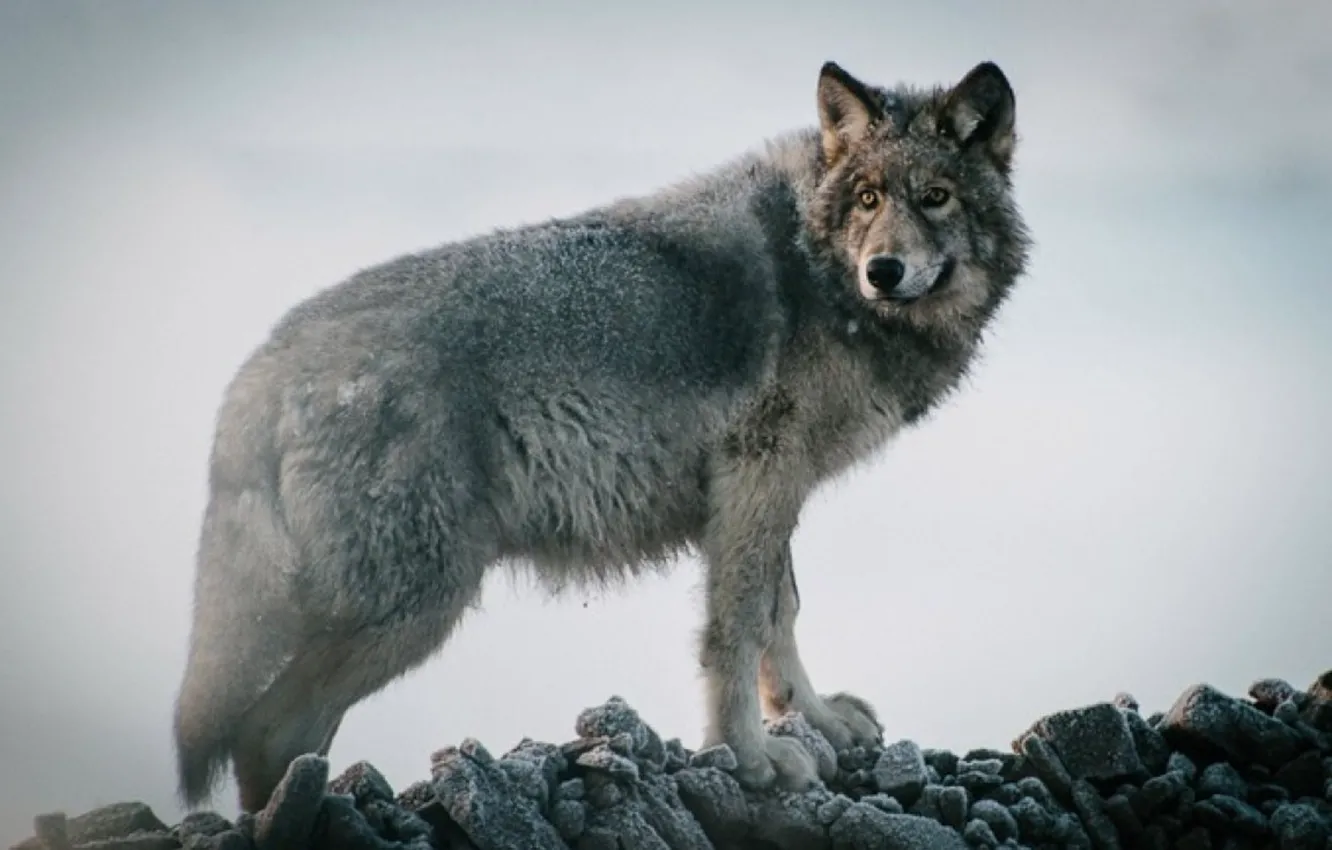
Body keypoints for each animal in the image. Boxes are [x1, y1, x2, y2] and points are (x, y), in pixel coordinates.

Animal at [173, 59, 1031, 812]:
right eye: (867, 197)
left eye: (934, 197)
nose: (882, 270)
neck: (818, 270)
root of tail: (258, 375)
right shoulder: (760, 476)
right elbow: (739, 626)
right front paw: (750, 759)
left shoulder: (771, 489)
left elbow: (780, 614)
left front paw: (813, 720)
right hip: (417, 606)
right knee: (269, 731)